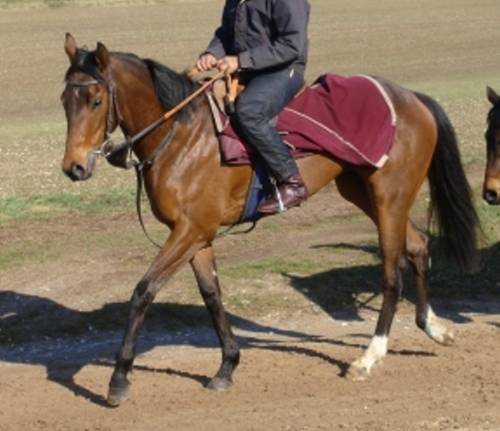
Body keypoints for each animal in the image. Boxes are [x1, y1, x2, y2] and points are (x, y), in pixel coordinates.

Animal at [60, 34, 479, 407]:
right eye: (65, 100)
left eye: (96, 99)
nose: (73, 168)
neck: (182, 135)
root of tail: (411, 98)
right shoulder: (198, 235)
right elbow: (212, 295)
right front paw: (227, 366)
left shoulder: (190, 231)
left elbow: (143, 291)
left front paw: (118, 380)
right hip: (365, 193)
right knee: (418, 246)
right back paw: (433, 327)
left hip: (389, 198)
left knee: (393, 273)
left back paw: (369, 357)